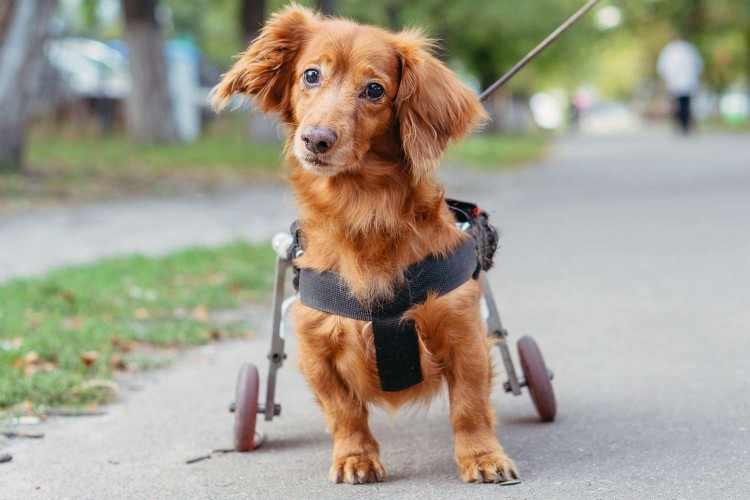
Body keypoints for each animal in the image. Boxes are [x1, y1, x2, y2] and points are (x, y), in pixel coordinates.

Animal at [212, 4, 516, 484]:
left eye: (374, 89)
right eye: (311, 75)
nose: (316, 139)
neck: (365, 213)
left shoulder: (464, 336)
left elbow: (468, 407)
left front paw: (482, 456)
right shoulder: (316, 347)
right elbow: (345, 411)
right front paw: (355, 457)